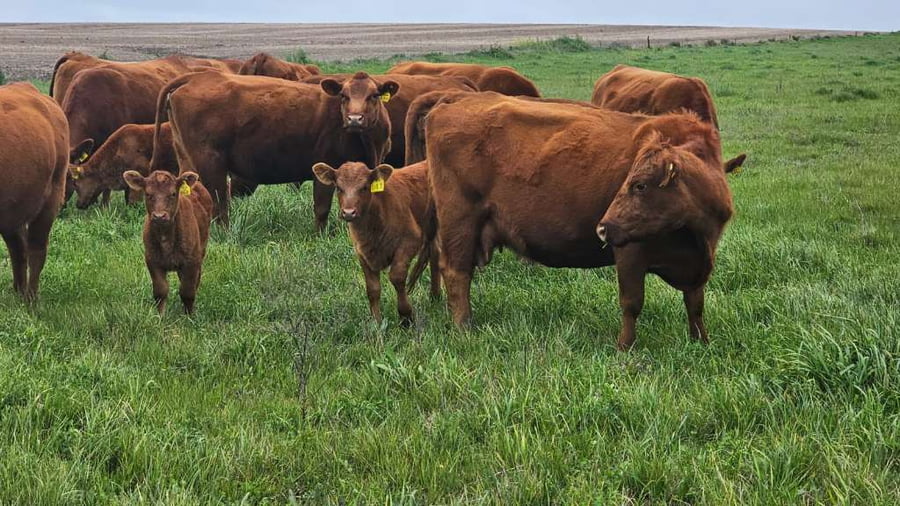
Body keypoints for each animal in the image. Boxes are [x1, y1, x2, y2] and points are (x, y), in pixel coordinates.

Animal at [0, 83, 69, 301]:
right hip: (13, 208)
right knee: (18, 249)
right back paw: (18, 292)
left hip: (51, 200)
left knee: (36, 250)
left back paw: (31, 298)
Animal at [122, 170, 213, 314]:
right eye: (148, 194)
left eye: (173, 194)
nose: (159, 216)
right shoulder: (152, 260)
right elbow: (160, 291)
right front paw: (160, 316)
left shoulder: (192, 261)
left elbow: (188, 292)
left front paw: (189, 315)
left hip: (201, 250)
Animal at [150, 70, 397, 228]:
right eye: (344, 96)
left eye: (374, 95)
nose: (355, 119)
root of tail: (195, 77)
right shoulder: (326, 169)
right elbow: (321, 208)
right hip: (210, 164)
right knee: (219, 205)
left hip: (187, 160)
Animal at [312, 161, 439, 325]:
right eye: (339, 188)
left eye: (365, 187)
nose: (348, 212)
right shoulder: (362, 252)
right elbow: (372, 288)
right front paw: (377, 322)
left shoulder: (410, 242)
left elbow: (397, 277)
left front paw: (406, 316)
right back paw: (435, 298)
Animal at [423, 92, 735, 350]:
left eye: (639, 185)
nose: (603, 228)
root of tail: (455, 99)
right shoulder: (630, 253)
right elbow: (632, 303)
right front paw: (625, 347)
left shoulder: (700, 261)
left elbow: (695, 304)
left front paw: (700, 342)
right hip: (460, 223)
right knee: (457, 272)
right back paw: (464, 327)